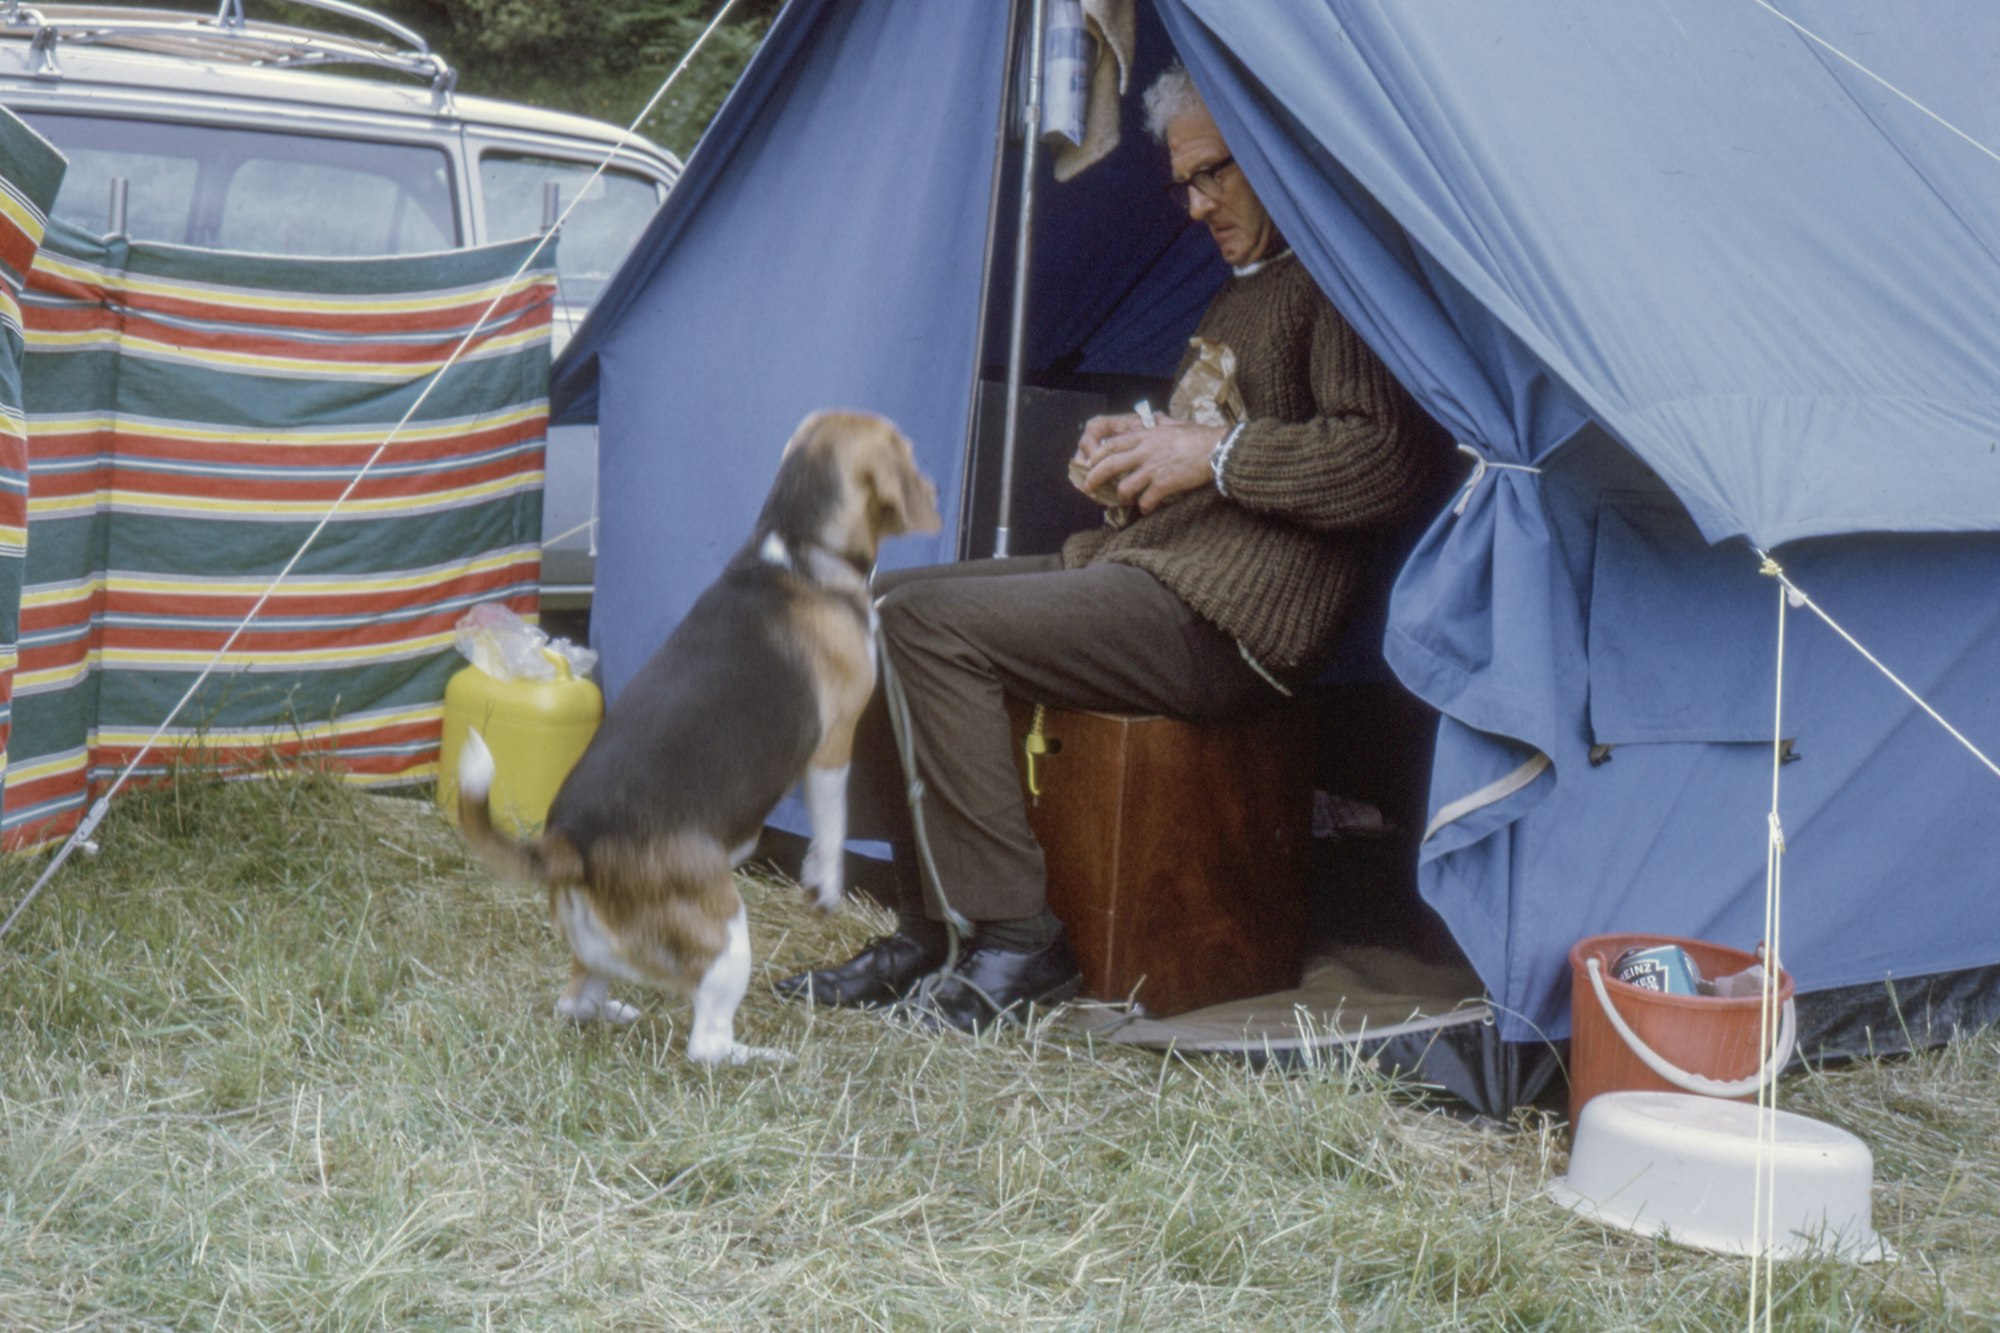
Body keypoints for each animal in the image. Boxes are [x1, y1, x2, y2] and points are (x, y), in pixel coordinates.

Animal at [458, 404, 940, 1056]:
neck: (794, 548)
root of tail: (571, 843)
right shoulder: (833, 741)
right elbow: (833, 822)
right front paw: (826, 885)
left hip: (594, 947)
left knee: (576, 1002)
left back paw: (611, 1011)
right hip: (728, 936)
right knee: (706, 1045)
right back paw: (760, 1056)